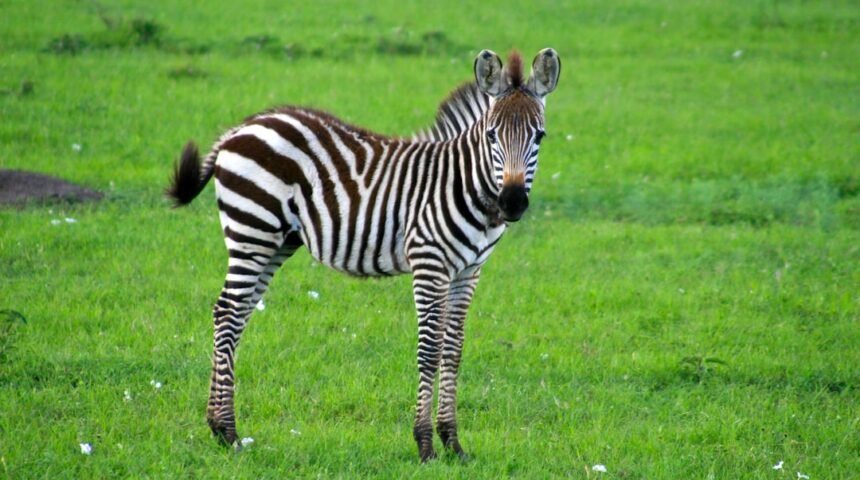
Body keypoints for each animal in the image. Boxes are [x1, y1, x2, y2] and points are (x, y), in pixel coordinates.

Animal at [166, 48, 560, 462]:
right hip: (252, 231)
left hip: (276, 241)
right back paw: (227, 431)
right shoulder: (429, 263)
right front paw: (425, 445)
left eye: (539, 136)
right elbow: (429, 349)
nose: (513, 203)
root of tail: (243, 126)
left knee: (237, 313)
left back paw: (218, 426)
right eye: (491, 135)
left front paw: (453, 443)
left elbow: (453, 350)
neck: (465, 185)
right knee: (227, 312)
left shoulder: (469, 271)